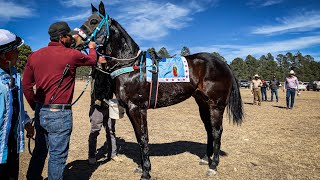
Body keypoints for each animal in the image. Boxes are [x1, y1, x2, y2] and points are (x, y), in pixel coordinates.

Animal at [76, 2, 244, 179]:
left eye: (94, 21)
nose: (75, 39)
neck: (132, 66)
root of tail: (223, 63)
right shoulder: (130, 109)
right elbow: (139, 137)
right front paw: (142, 167)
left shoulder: (137, 108)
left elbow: (143, 138)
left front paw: (146, 172)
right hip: (203, 104)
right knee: (209, 129)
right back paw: (206, 158)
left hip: (216, 105)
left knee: (217, 131)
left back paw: (213, 165)